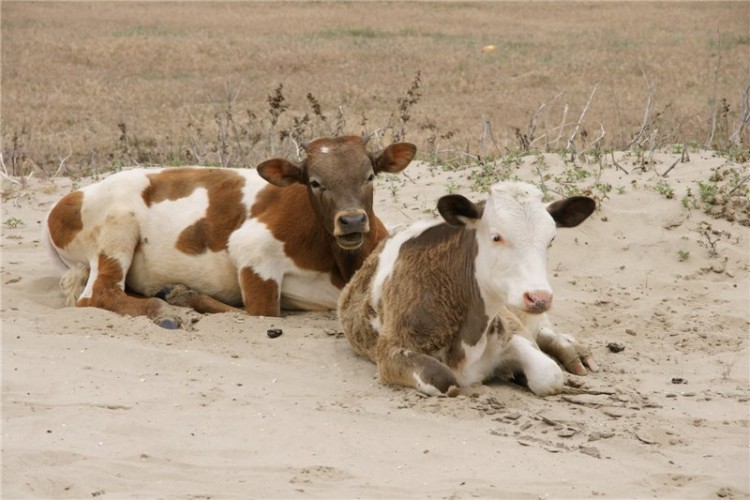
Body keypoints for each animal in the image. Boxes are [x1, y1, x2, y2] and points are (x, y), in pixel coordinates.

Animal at [43, 135, 418, 326]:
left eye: (369, 176)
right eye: (314, 181)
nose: (352, 221)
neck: (339, 265)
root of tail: (69, 197)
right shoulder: (253, 253)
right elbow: (261, 313)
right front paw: (184, 297)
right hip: (118, 225)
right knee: (97, 294)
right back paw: (165, 310)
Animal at [340, 180, 600, 394]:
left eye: (551, 239)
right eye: (496, 236)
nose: (539, 297)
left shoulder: (512, 330)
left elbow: (550, 375)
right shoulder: (391, 350)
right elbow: (445, 379)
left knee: (546, 330)